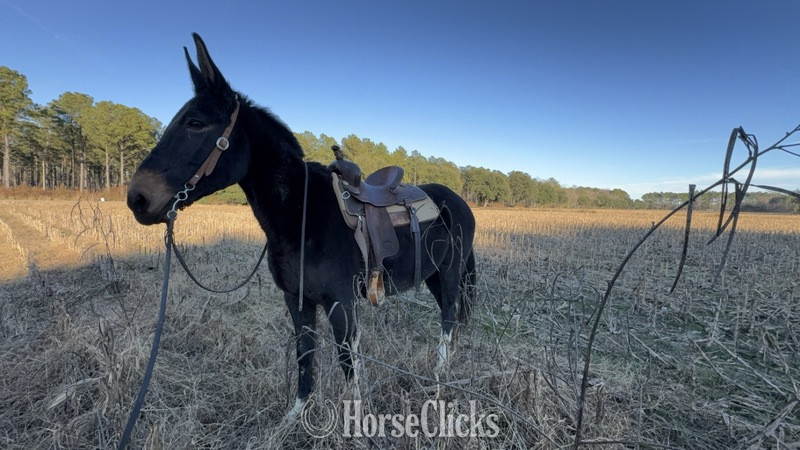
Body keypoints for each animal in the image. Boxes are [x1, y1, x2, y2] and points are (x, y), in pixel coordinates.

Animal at [127, 33, 476, 419]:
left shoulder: (340, 304)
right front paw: (294, 417)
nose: (137, 198)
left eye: (195, 123)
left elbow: (347, 363)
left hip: (450, 271)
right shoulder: (297, 300)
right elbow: (305, 355)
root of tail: (459, 202)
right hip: (433, 275)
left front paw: (354, 419)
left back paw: (440, 376)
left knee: (448, 317)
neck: (301, 215)